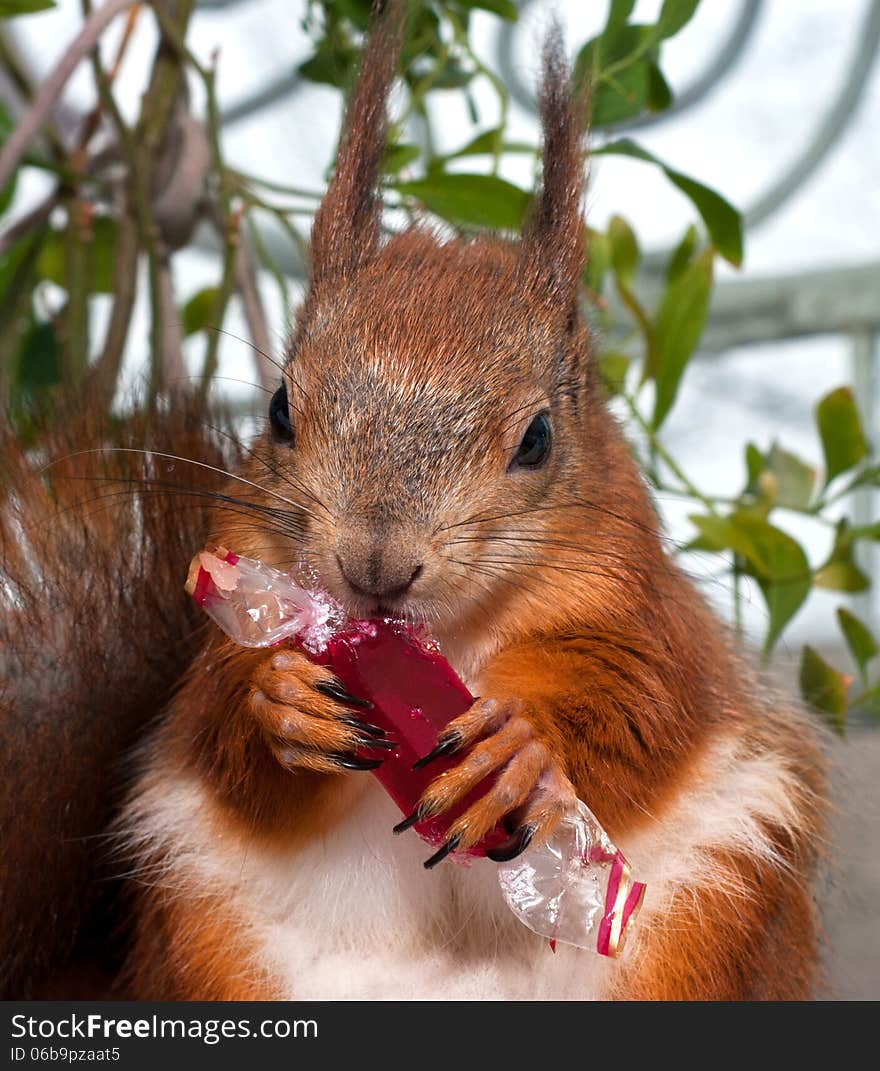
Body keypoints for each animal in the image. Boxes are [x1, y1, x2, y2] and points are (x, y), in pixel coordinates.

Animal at [1, 4, 826, 998]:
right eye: (279, 410)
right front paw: (284, 703)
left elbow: (639, 713)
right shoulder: (238, 599)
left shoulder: (644, 613)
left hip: (704, 922)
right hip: (215, 947)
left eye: (538, 438)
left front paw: (518, 746)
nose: (375, 565)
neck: (444, 636)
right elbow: (227, 742)